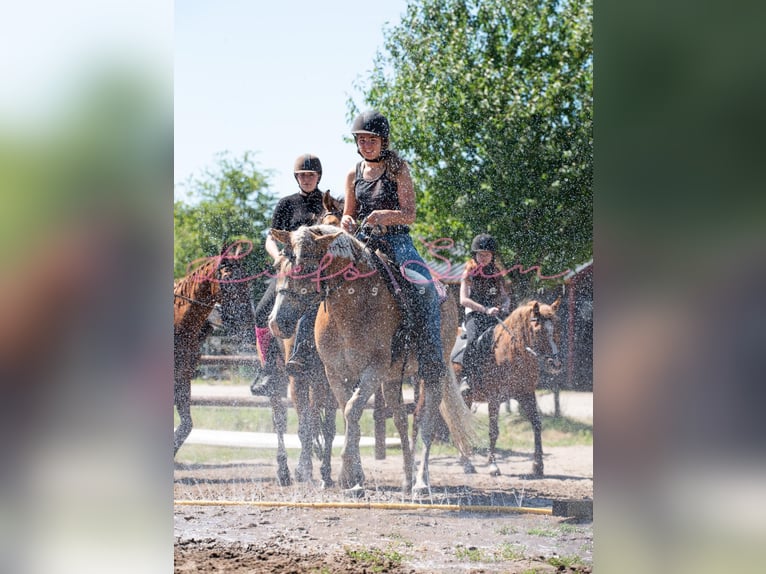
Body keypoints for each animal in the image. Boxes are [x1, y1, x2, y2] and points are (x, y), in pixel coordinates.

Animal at [268, 224, 474, 496]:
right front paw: (353, 477)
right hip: (392, 379)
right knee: (400, 420)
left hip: (431, 372)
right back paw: (407, 479)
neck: (353, 304)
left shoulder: (373, 370)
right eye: (278, 265)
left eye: (304, 268)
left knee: (426, 422)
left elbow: (352, 410)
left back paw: (421, 482)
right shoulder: (336, 373)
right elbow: (349, 414)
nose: (276, 323)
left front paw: (346, 474)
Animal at [452, 300, 560, 480]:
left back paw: (466, 462)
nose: (556, 365)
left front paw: (538, 466)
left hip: (465, 398)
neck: (511, 351)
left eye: (556, 329)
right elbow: (493, 431)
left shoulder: (526, 394)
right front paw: (493, 466)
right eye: (538, 331)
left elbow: (537, 424)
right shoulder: (494, 398)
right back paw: (465, 463)